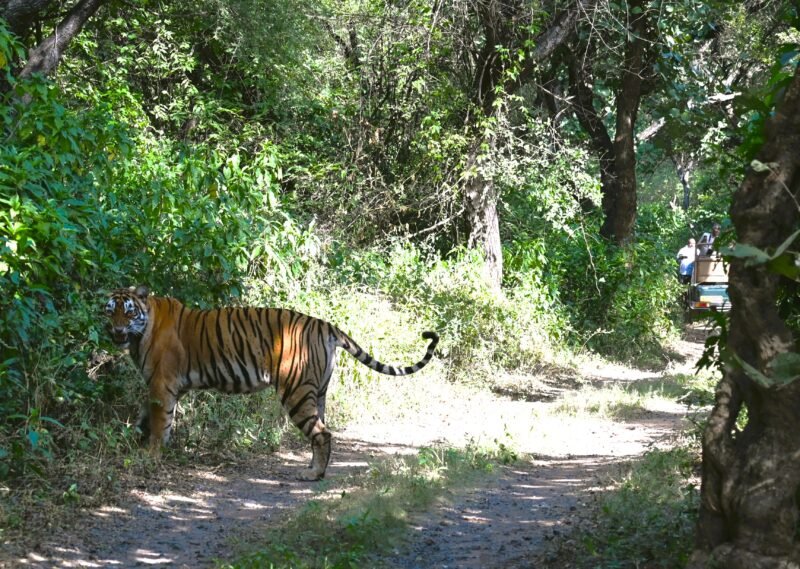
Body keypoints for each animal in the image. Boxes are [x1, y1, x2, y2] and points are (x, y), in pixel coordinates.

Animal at [105, 285, 439, 480]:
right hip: (319, 391)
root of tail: (325, 324)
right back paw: (314, 469)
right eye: (109, 312)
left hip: (296, 390)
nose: (116, 331)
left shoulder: (161, 385)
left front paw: (149, 455)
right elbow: (155, 420)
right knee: (324, 431)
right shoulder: (168, 388)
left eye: (129, 313)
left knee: (321, 432)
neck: (143, 328)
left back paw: (313, 476)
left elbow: (158, 423)